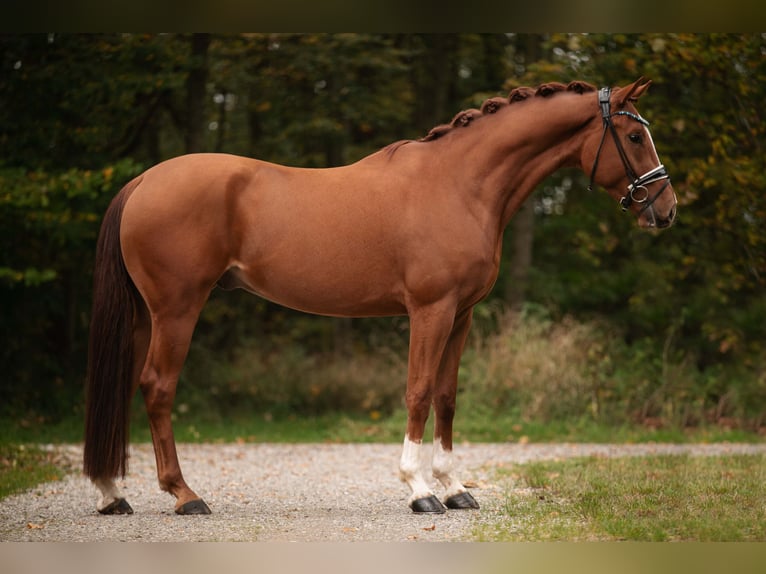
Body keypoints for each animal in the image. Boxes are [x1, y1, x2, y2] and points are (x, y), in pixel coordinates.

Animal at [85, 77, 680, 516]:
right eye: (633, 138)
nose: (667, 209)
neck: (460, 185)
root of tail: (143, 182)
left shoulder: (462, 315)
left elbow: (447, 396)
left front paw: (454, 488)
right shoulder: (430, 310)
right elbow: (418, 392)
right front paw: (419, 491)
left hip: (146, 315)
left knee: (123, 385)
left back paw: (114, 495)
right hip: (177, 309)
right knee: (157, 387)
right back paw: (185, 496)